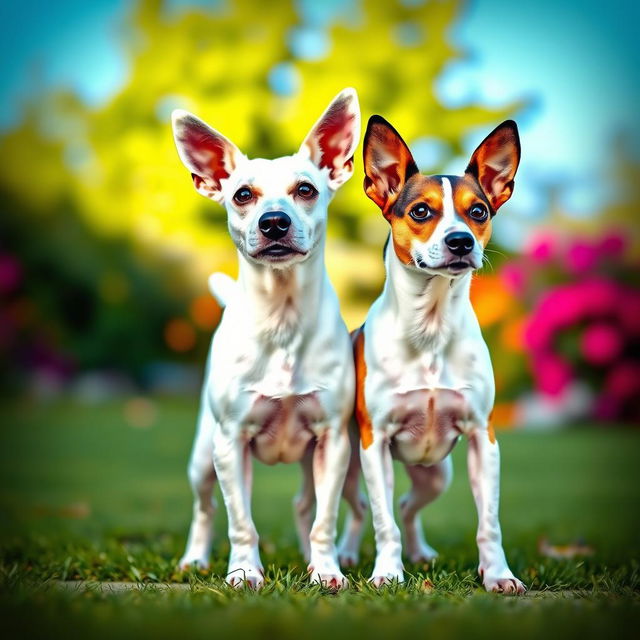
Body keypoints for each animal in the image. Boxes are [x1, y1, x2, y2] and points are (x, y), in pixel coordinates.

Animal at [170, 90, 360, 592]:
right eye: (242, 195)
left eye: (306, 189)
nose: (274, 222)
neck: (282, 317)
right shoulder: (230, 442)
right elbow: (241, 522)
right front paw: (243, 572)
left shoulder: (333, 441)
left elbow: (324, 519)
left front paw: (327, 570)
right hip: (203, 458)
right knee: (204, 508)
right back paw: (194, 559)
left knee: (304, 506)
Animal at [352, 116, 528, 596]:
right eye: (420, 212)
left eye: (479, 211)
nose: (461, 241)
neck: (429, 328)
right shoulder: (375, 443)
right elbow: (383, 522)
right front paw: (387, 573)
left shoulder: (483, 439)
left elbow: (490, 524)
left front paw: (498, 574)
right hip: (351, 468)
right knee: (363, 511)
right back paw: (346, 553)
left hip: (435, 473)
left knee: (408, 505)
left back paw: (419, 553)